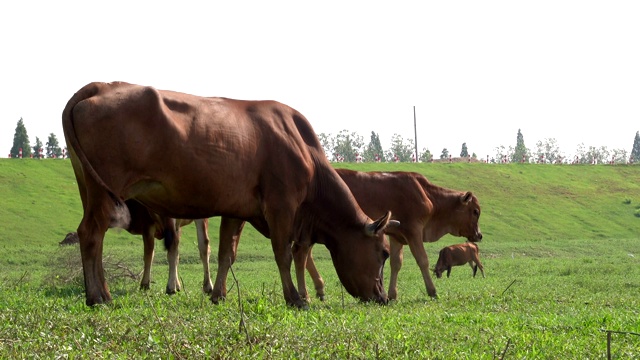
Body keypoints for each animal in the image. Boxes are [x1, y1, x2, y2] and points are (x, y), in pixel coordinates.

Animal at [63, 81, 396, 306]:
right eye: (384, 252)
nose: (382, 297)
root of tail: (101, 86)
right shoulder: (281, 205)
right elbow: (283, 254)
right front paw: (295, 298)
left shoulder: (237, 210)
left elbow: (227, 253)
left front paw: (218, 294)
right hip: (106, 189)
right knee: (92, 234)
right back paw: (99, 296)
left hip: (89, 188)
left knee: (91, 234)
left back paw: (99, 292)